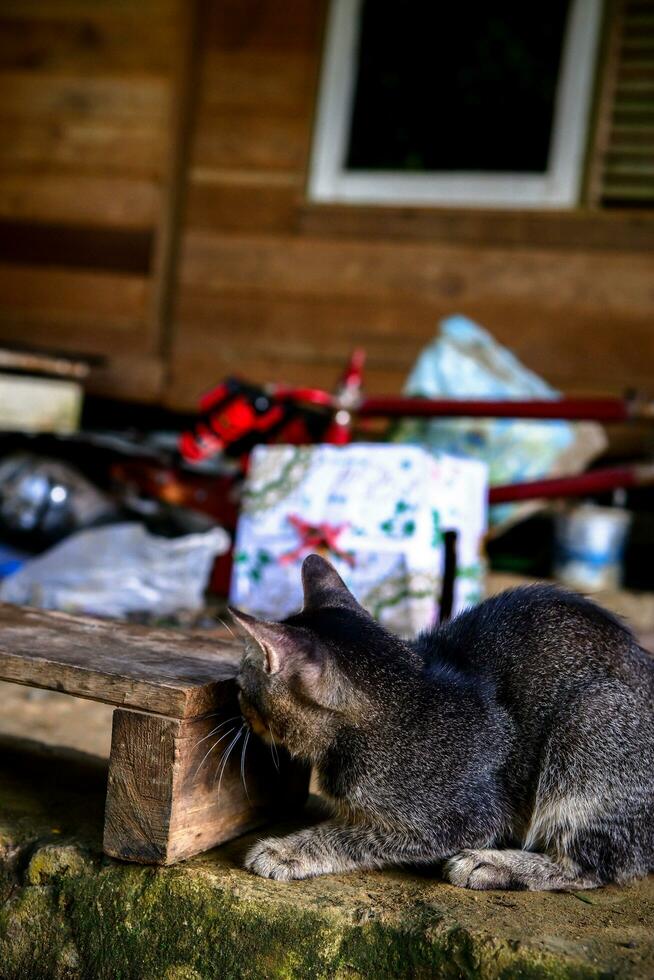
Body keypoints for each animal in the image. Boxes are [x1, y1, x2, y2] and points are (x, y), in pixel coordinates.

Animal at [231, 556, 654, 892]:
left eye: (243, 679)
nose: (236, 698)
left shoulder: (464, 819)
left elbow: (350, 835)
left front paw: (287, 850)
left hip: (587, 725)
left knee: (592, 866)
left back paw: (493, 864)